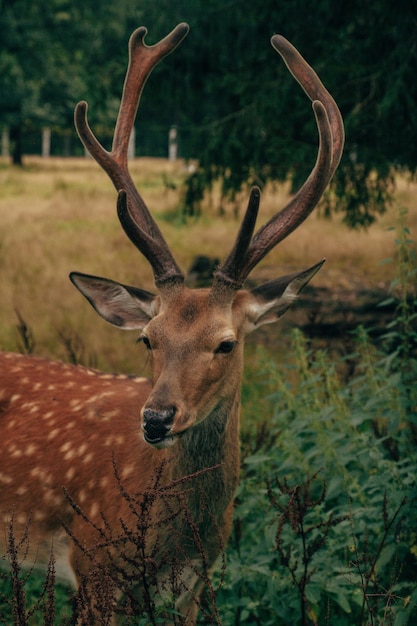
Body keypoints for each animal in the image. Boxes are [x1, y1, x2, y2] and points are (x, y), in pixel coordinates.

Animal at [0, 22, 342, 624]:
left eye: (226, 343)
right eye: (147, 339)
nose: (156, 419)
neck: (175, 540)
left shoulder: (194, 585)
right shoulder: (91, 565)